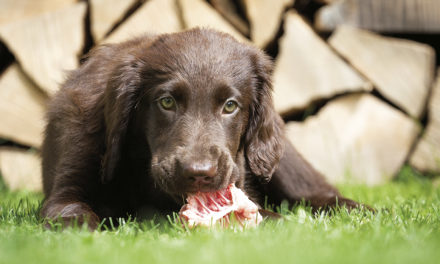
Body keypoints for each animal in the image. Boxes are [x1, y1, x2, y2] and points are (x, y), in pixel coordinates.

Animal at [40, 27, 364, 229]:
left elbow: (267, 215)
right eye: (167, 102)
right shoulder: (67, 187)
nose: (198, 173)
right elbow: (72, 215)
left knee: (316, 193)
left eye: (230, 106)